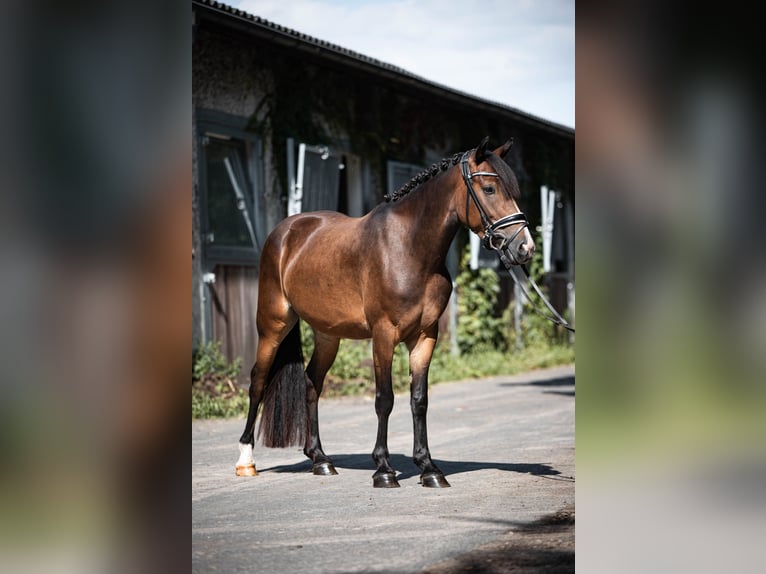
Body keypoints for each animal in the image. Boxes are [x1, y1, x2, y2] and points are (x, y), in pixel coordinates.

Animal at [234, 137, 536, 488]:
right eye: (489, 188)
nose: (524, 248)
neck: (408, 248)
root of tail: (286, 232)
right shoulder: (383, 335)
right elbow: (385, 399)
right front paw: (384, 469)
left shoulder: (424, 336)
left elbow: (419, 399)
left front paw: (429, 468)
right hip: (273, 324)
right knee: (258, 380)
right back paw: (246, 460)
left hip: (327, 335)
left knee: (312, 382)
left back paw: (321, 459)